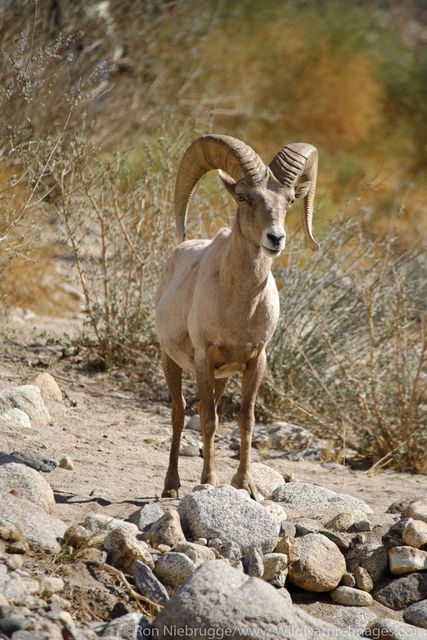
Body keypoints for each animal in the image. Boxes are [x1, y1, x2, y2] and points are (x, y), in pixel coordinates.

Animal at [155, 134, 319, 498]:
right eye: (244, 197)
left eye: (289, 201)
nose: (276, 238)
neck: (240, 309)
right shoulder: (203, 359)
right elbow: (207, 420)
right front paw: (208, 481)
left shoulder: (255, 362)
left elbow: (246, 420)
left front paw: (246, 486)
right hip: (171, 361)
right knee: (180, 413)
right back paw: (171, 487)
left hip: (222, 377)